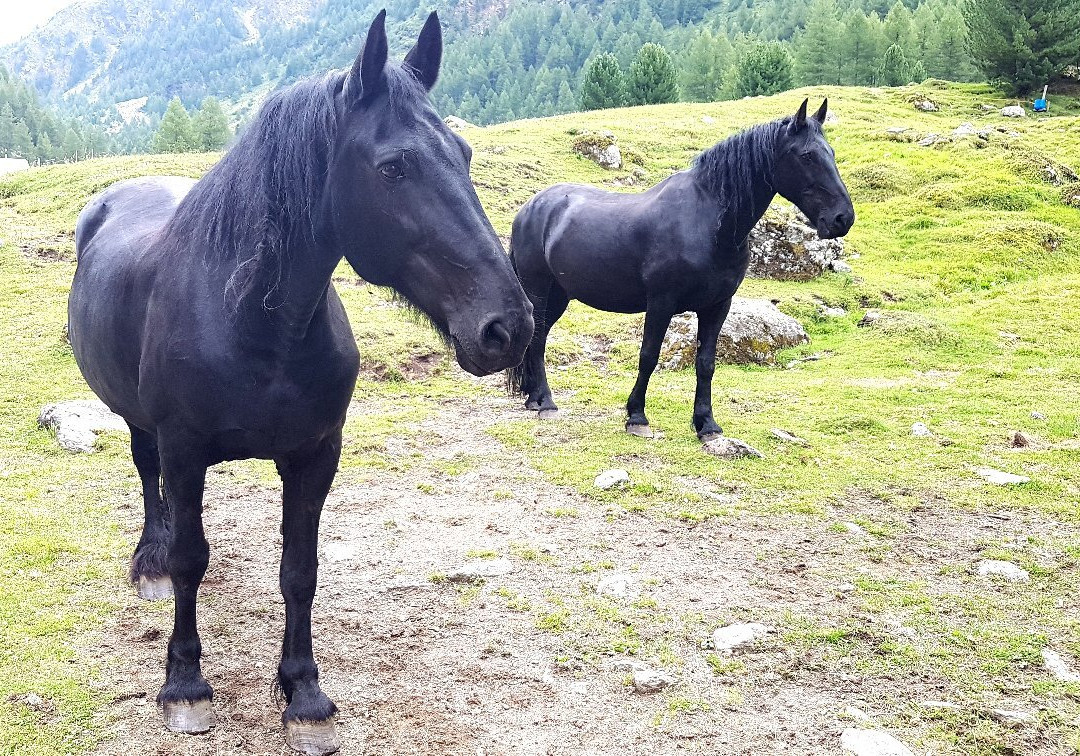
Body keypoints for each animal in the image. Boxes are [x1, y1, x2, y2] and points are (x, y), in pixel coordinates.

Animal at [67, 11, 531, 756]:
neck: (251, 321)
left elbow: (300, 570)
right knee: (147, 476)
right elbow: (192, 559)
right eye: (393, 167)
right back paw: (151, 561)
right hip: (141, 424)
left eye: (462, 153)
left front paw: (305, 694)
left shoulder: (315, 456)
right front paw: (185, 685)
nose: (507, 327)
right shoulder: (185, 451)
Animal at [505, 100, 851, 442]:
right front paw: (637, 417)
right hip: (538, 288)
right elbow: (648, 356)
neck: (708, 223)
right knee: (537, 339)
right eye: (806, 156)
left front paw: (706, 424)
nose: (842, 218)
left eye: (831, 152)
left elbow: (706, 363)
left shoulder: (718, 306)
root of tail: (530, 208)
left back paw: (534, 398)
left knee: (538, 338)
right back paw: (546, 402)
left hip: (559, 296)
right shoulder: (661, 302)